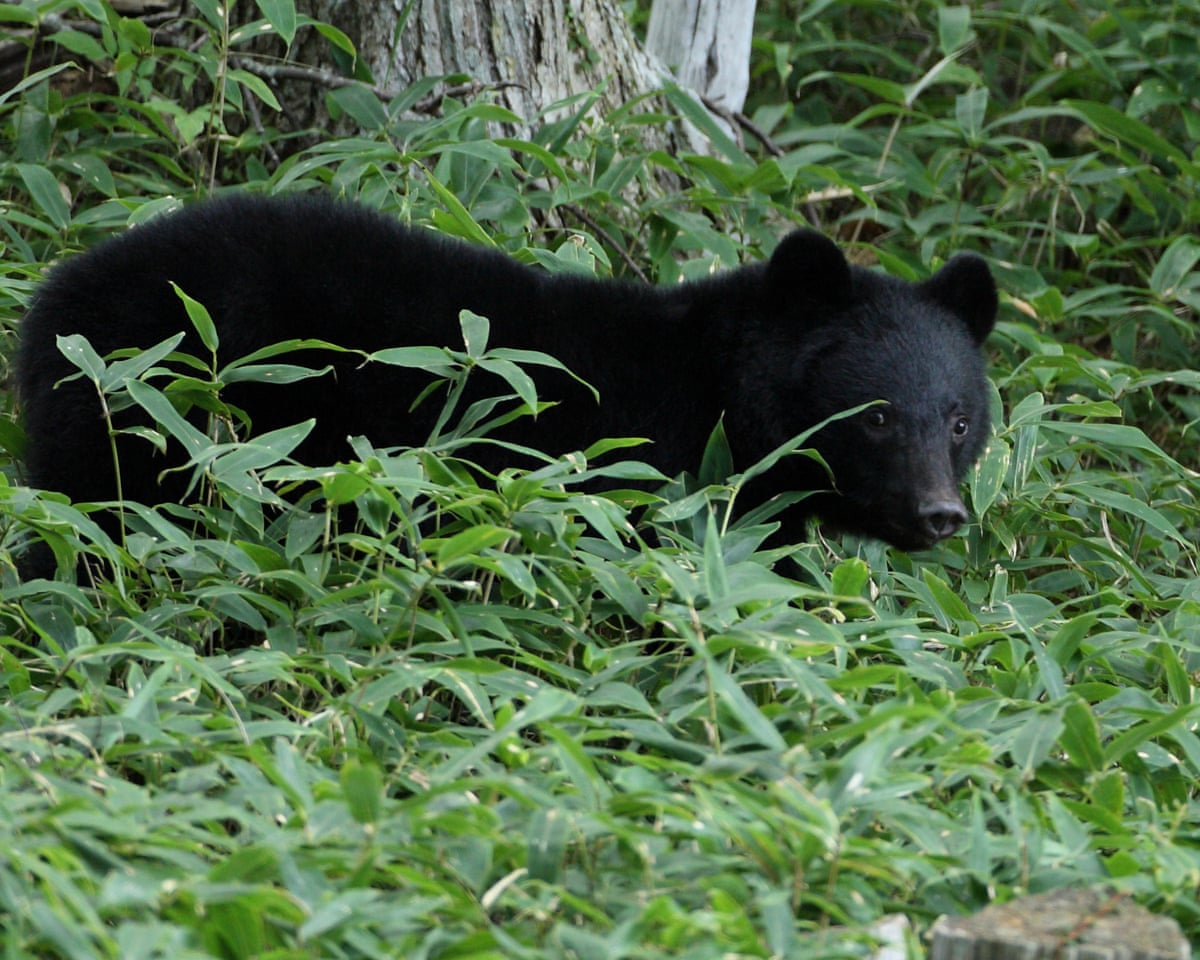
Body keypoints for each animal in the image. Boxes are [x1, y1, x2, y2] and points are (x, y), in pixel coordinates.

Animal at [16, 193, 997, 564]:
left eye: (958, 421)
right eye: (875, 417)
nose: (940, 514)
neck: (718, 393)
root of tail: (54, 297)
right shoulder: (650, 472)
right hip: (148, 406)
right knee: (97, 517)